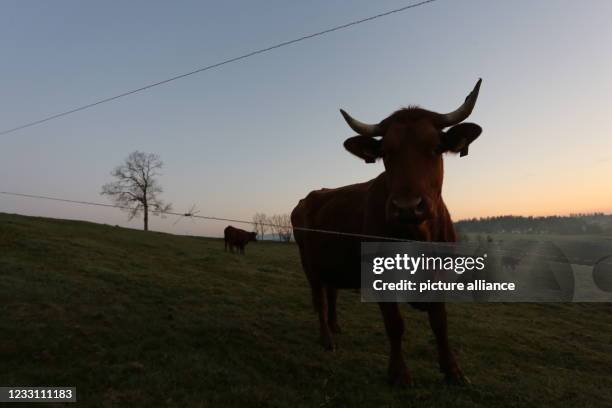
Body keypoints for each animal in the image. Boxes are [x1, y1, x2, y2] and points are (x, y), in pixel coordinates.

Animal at [292, 79, 482, 386]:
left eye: (435, 147)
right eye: (386, 153)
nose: (407, 207)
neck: (418, 237)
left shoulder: (440, 275)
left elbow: (440, 323)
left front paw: (452, 370)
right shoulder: (379, 275)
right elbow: (395, 324)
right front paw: (399, 373)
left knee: (331, 293)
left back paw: (335, 326)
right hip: (309, 264)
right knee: (319, 299)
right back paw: (327, 338)